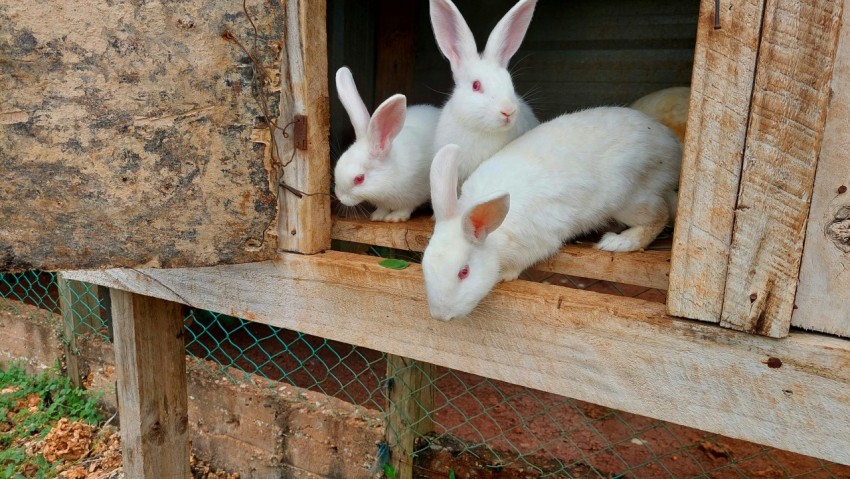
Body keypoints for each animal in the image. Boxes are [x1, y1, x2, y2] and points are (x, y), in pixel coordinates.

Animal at [332, 66, 440, 223]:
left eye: (359, 179)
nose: (340, 196)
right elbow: (382, 208)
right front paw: (377, 216)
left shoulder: (415, 193)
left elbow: (406, 207)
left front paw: (395, 218)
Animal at [424, 107, 684, 320]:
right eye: (425, 265)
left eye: (464, 272)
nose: (441, 316)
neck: (493, 237)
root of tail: (672, 149)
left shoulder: (537, 242)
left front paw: (504, 275)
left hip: (630, 198)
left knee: (658, 215)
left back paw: (618, 242)